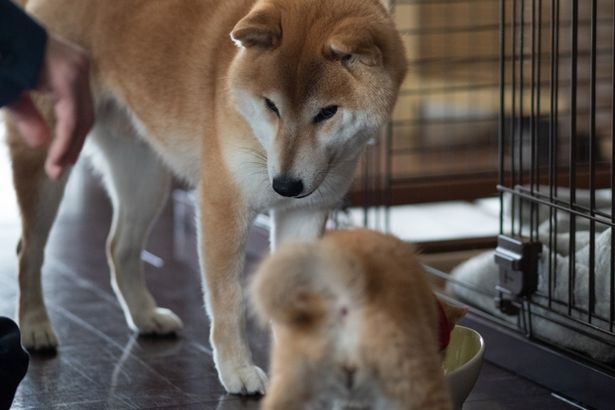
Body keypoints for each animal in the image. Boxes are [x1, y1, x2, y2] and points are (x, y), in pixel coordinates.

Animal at [7, 0, 410, 394]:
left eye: (327, 112)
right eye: (271, 106)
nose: (284, 186)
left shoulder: (306, 213)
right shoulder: (223, 207)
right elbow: (228, 300)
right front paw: (238, 370)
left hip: (145, 179)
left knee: (119, 247)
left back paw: (145, 316)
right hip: (48, 164)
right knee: (29, 250)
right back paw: (35, 326)